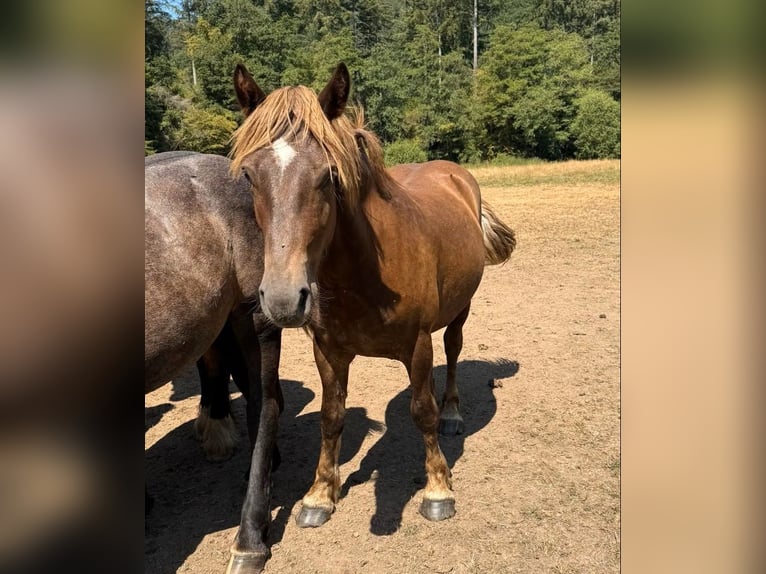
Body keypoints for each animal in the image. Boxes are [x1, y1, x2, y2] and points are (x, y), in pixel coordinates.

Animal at [223, 63, 516, 573]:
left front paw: (438, 489)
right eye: (250, 177)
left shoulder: (417, 344)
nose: (282, 299)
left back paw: (453, 412)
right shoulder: (329, 352)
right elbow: (331, 416)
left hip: (458, 313)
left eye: (328, 175)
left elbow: (422, 412)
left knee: (453, 355)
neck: (361, 275)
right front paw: (319, 496)